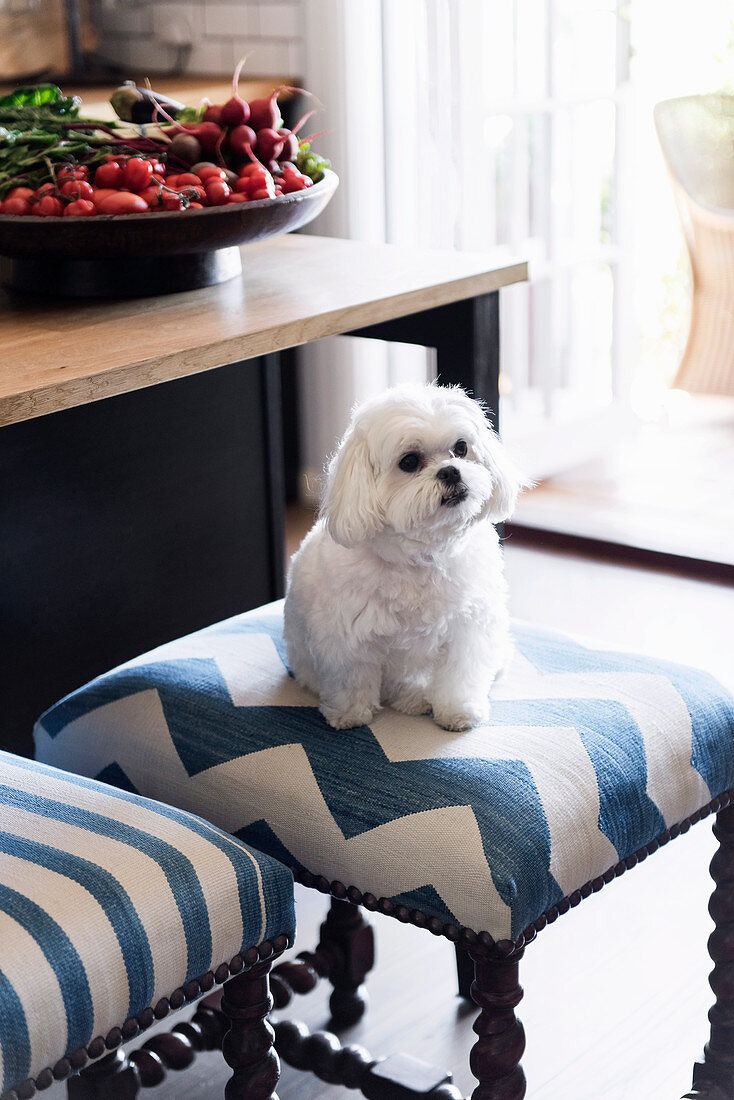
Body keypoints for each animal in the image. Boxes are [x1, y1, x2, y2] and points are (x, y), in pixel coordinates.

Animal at [283, 382, 526, 734]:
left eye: (461, 447)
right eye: (409, 462)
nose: (451, 471)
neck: (423, 555)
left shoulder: (467, 629)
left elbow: (459, 676)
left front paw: (458, 712)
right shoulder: (347, 636)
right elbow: (351, 679)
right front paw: (349, 714)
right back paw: (412, 698)